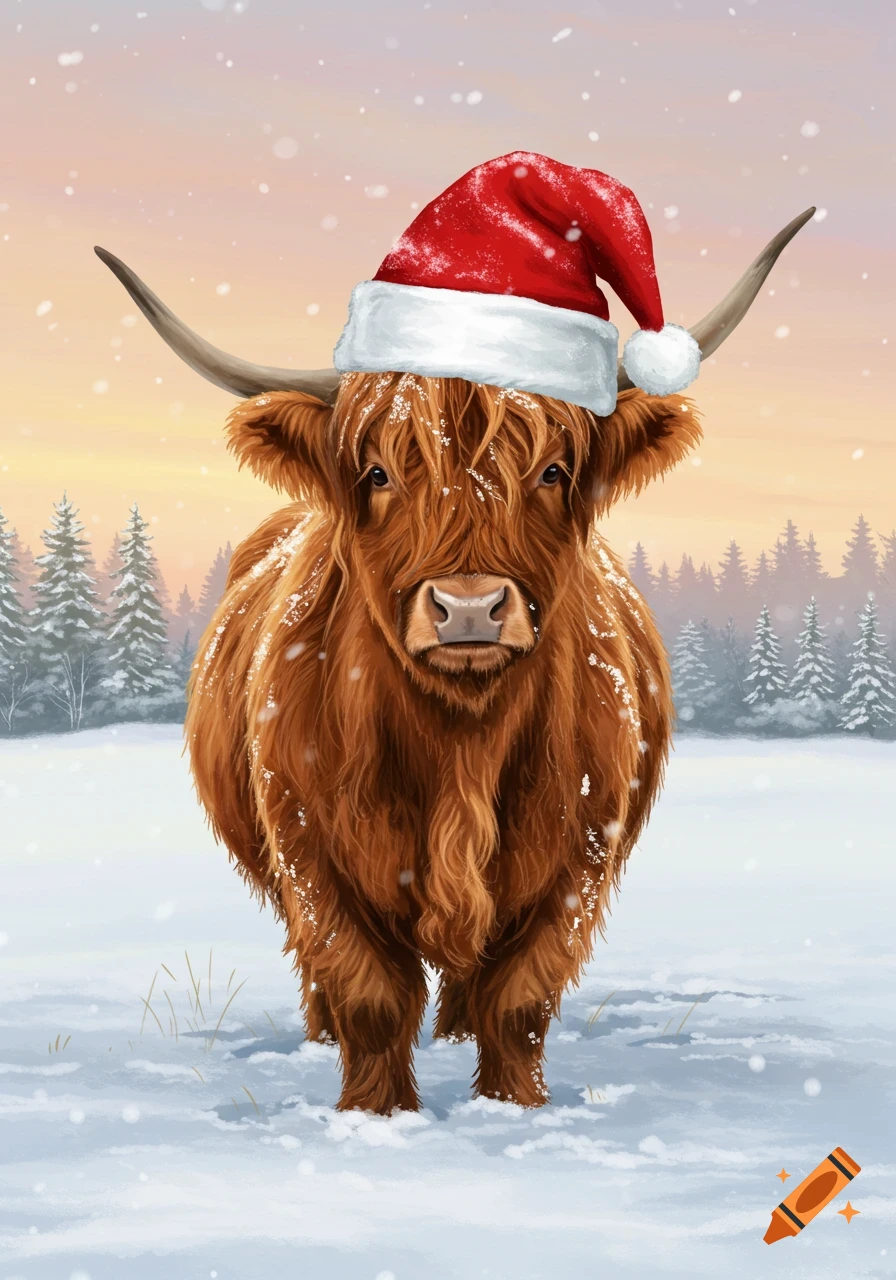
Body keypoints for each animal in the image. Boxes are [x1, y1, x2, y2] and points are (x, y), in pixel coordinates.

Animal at [97, 167, 813, 1115]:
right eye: (377, 472)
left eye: (553, 470)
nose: (469, 609)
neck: (461, 743)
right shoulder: (312, 855)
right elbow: (369, 991)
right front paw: (378, 1114)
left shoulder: (578, 860)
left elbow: (521, 996)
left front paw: (511, 1110)